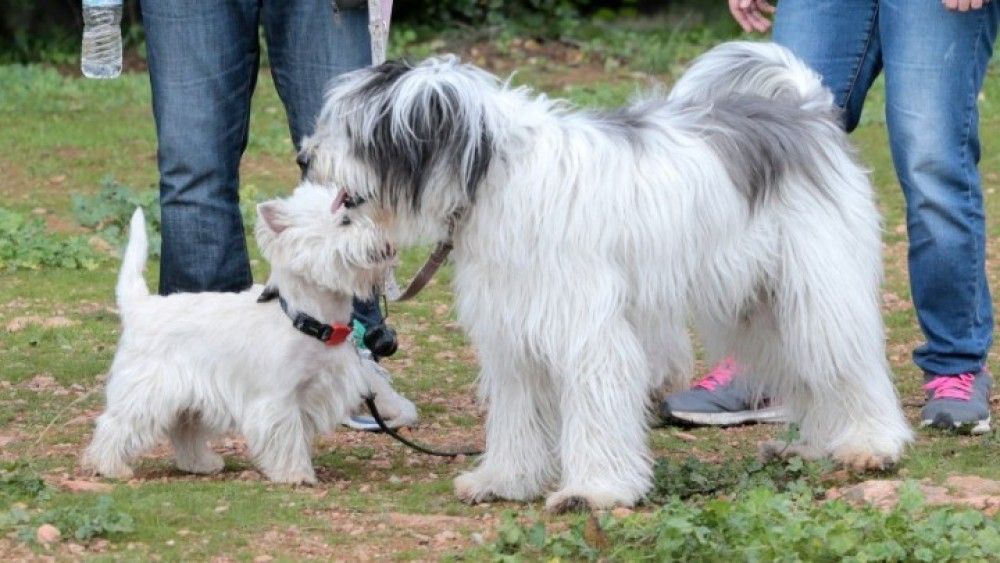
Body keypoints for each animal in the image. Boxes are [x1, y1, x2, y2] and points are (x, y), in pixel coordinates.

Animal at [302, 43, 916, 512]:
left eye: (353, 131)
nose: (306, 157)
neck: (496, 173)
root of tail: (805, 111)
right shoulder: (514, 328)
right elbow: (518, 412)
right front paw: (505, 480)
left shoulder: (587, 330)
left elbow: (595, 410)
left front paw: (594, 490)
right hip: (759, 305)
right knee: (806, 371)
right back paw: (815, 445)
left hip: (816, 286)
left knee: (847, 361)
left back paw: (871, 443)